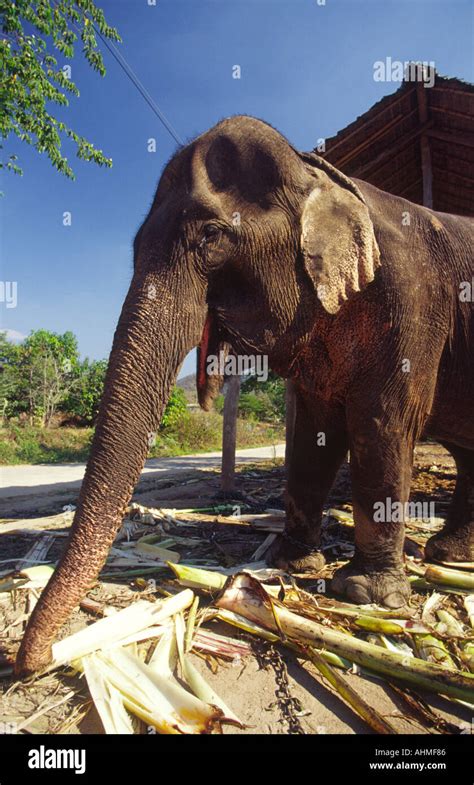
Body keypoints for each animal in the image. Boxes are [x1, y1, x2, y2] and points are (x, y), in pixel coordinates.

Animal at [15, 115, 474, 672]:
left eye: (211, 236)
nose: (34, 659)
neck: (321, 177)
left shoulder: (412, 303)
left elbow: (381, 424)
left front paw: (365, 596)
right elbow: (315, 434)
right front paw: (290, 561)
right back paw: (448, 555)